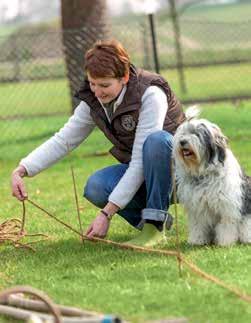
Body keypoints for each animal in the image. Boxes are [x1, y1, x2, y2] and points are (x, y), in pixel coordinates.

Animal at [174, 107, 251, 247]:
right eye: (183, 133)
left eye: (197, 134)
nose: (182, 142)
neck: (203, 172)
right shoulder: (197, 208)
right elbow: (198, 226)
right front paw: (197, 240)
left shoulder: (227, 207)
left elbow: (226, 226)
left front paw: (225, 242)